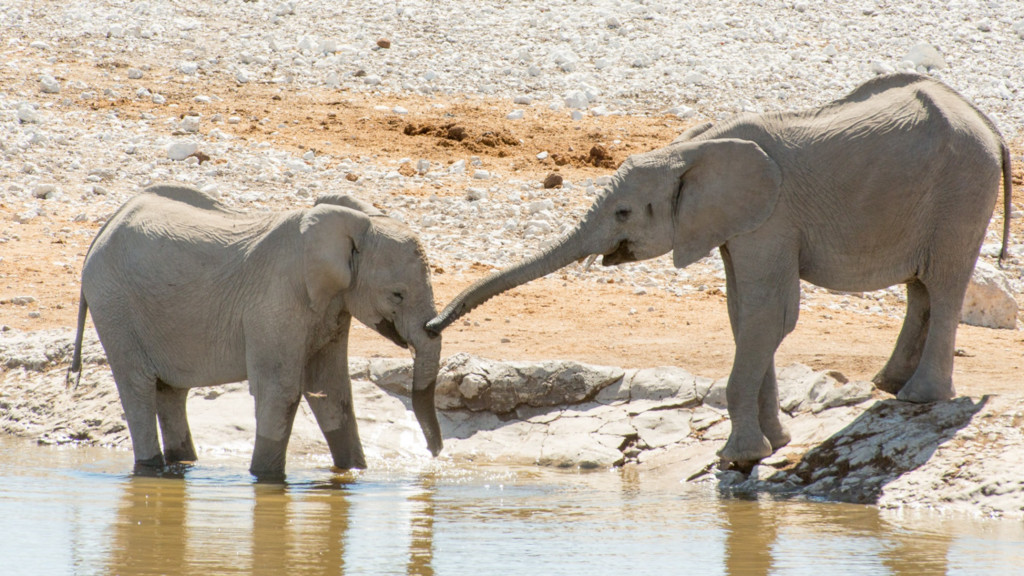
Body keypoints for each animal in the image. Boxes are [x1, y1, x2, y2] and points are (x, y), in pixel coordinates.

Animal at [68, 184, 443, 478]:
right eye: (397, 295)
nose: (435, 453)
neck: (354, 223)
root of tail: (106, 226)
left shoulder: (332, 305)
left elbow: (333, 391)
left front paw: (354, 472)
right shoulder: (275, 301)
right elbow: (282, 390)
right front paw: (266, 479)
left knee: (170, 392)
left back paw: (184, 463)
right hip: (114, 305)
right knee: (138, 387)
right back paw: (152, 468)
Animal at [426, 73, 1012, 464]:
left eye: (623, 213)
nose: (430, 327)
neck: (694, 149)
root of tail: (987, 123)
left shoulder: (772, 216)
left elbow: (767, 315)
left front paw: (738, 458)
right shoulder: (738, 223)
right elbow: (745, 314)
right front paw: (775, 444)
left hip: (963, 188)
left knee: (944, 282)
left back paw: (919, 397)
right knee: (921, 288)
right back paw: (889, 385)